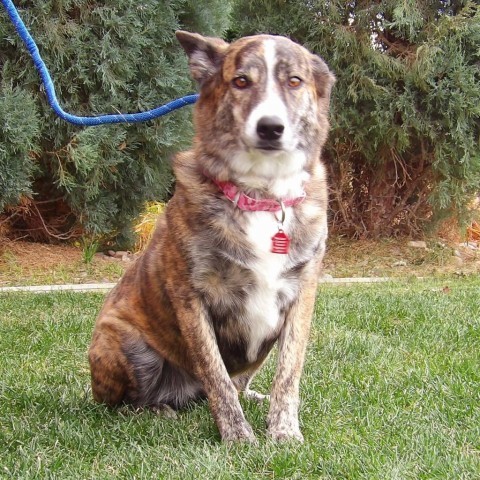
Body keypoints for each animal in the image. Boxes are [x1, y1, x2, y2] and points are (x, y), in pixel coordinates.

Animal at [91, 31, 338, 442]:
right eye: (240, 81)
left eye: (294, 81)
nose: (270, 128)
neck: (262, 196)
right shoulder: (192, 298)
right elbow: (217, 377)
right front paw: (238, 438)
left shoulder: (301, 296)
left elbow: (288, 374)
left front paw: (284, 432)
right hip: (121, 341)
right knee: (124, 404)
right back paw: (157, 409)